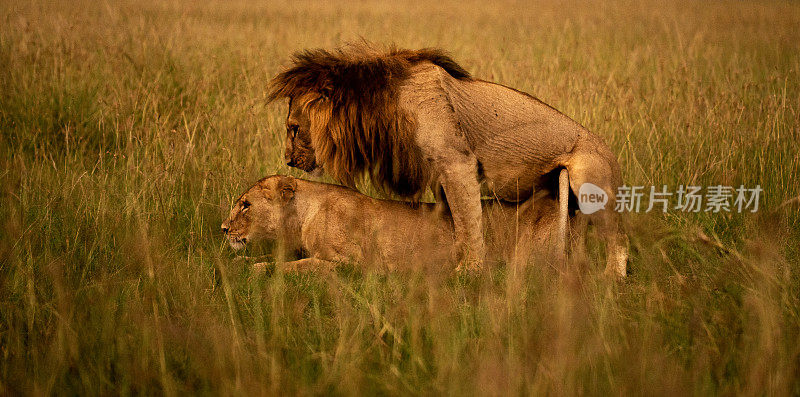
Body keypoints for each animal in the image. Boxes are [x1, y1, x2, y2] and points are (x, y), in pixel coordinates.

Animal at [222, 176, 564, 270]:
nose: (223, 229)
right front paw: (239, 265)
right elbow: (278, 259)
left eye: (245, 205)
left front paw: (256, 270)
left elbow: (294, 268)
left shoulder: (349, 263)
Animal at [266, 43, 628, 276]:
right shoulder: (439, 171)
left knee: (619, 239)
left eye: (293, 128)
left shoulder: (457, 162)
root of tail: (609, 151)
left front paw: (468, 271)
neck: (376, 107)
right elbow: (453, 219)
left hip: (590, 184)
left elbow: (468, 220)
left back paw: (612, 278)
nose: (288, 160)